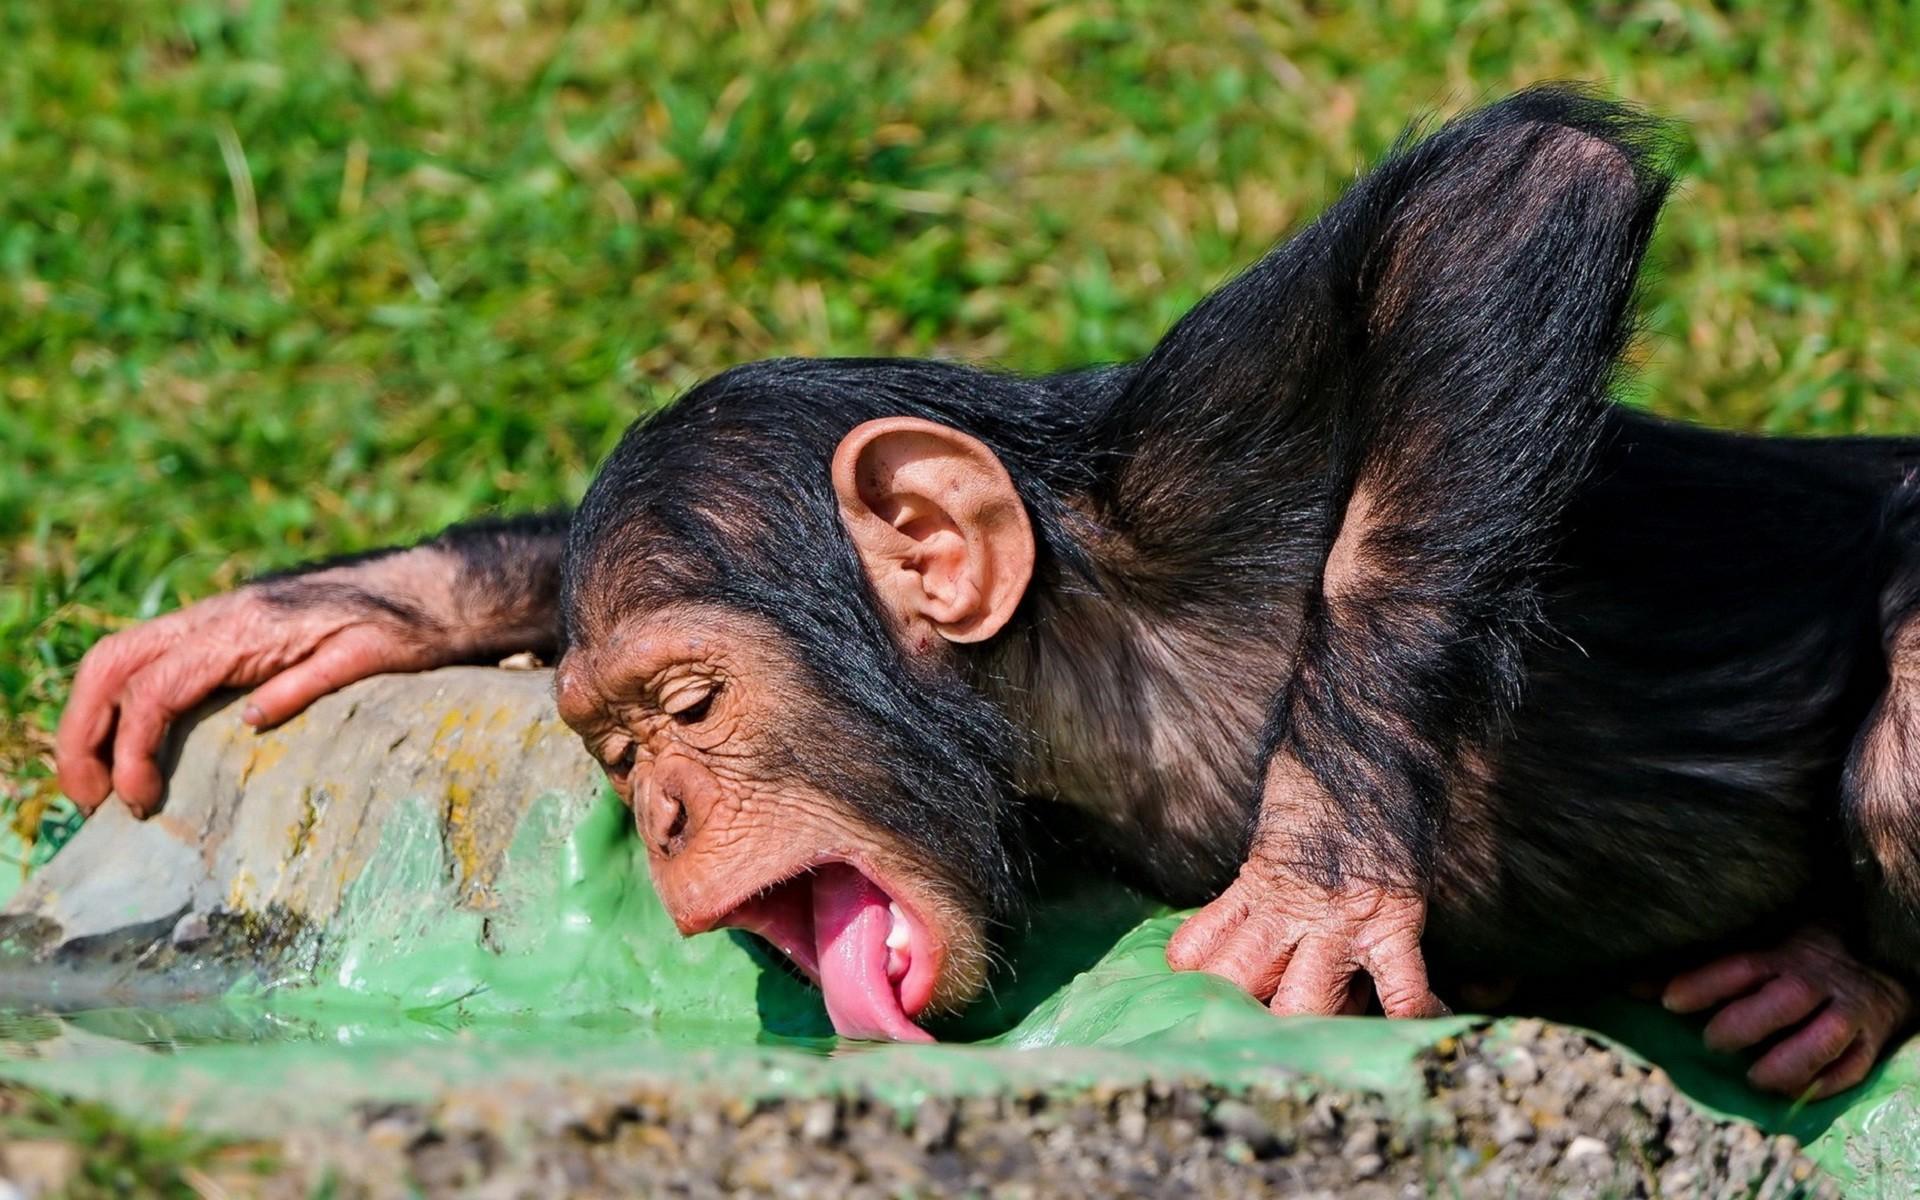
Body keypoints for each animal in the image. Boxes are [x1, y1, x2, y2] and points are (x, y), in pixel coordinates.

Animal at [52, 86, 1917, 1098]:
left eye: (686, 707)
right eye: (608, 748)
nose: (658, 812)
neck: (1072, 674)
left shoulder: (1206, 462)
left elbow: (1510, 200)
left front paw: (1314, 880)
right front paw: (340, 605)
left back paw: (1839, 981)